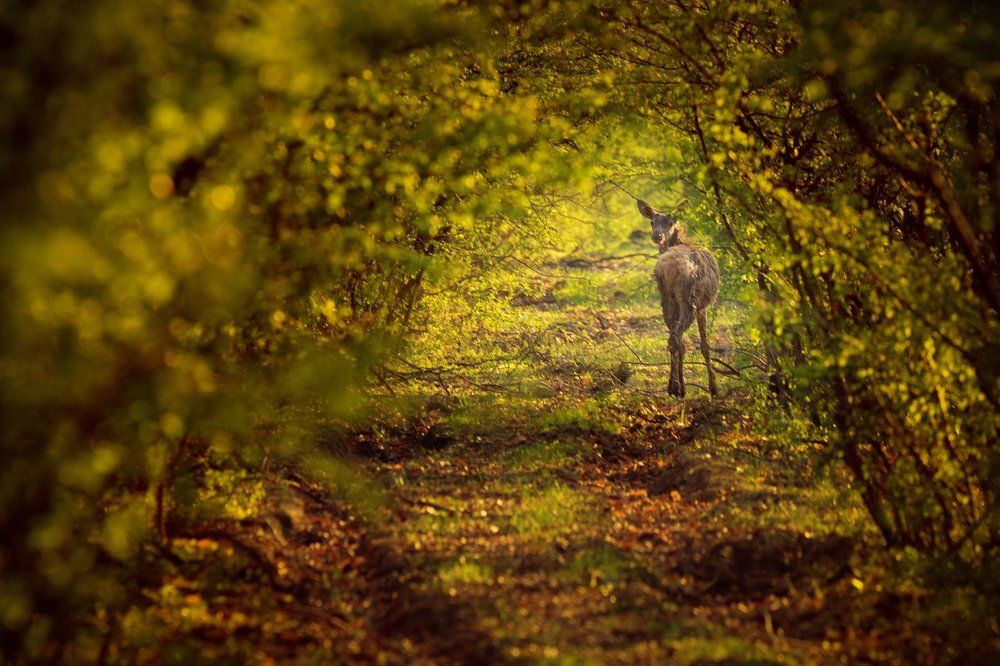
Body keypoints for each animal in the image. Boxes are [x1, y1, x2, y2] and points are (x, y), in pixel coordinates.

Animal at [637, 199, 720, 397]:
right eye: (652, 222)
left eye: (670, 222)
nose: (657, 236)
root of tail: (668, 268)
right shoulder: (703, 307)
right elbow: (705, 345)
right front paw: (713, 387)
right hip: (688, 301)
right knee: (677, 337)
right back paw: (680, 387)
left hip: (667, 300)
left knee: (673, 339)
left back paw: (673, 386)